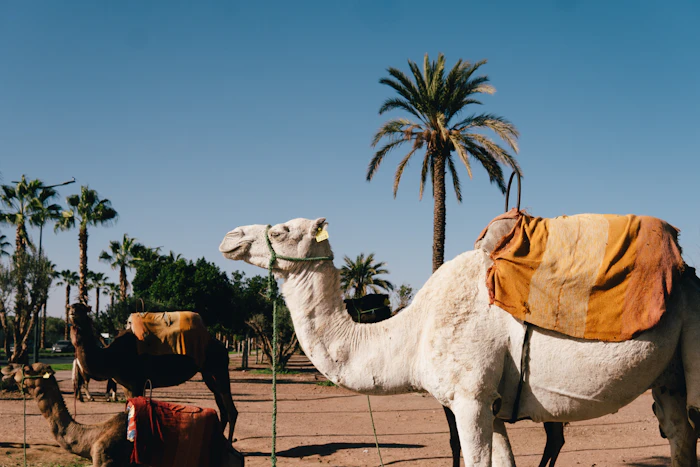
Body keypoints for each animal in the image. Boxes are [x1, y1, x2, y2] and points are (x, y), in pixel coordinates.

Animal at [68, 303, 239, 443]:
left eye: (83, 309)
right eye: (71, 306)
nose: (72, 311)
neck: (111, 356)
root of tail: (220, 345)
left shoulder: (136, 382)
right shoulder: (126, 386)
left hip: (219, 368)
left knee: (231, 410)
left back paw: (230, 444)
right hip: (209, 374)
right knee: (222, 407)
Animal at [220, 217, 700, 466]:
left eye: (280, 229)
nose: (229, 237)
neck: (412, 333)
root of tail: (687, 273)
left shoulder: (469, 397)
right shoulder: (493, 405)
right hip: (669, 375)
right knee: (680, 435)